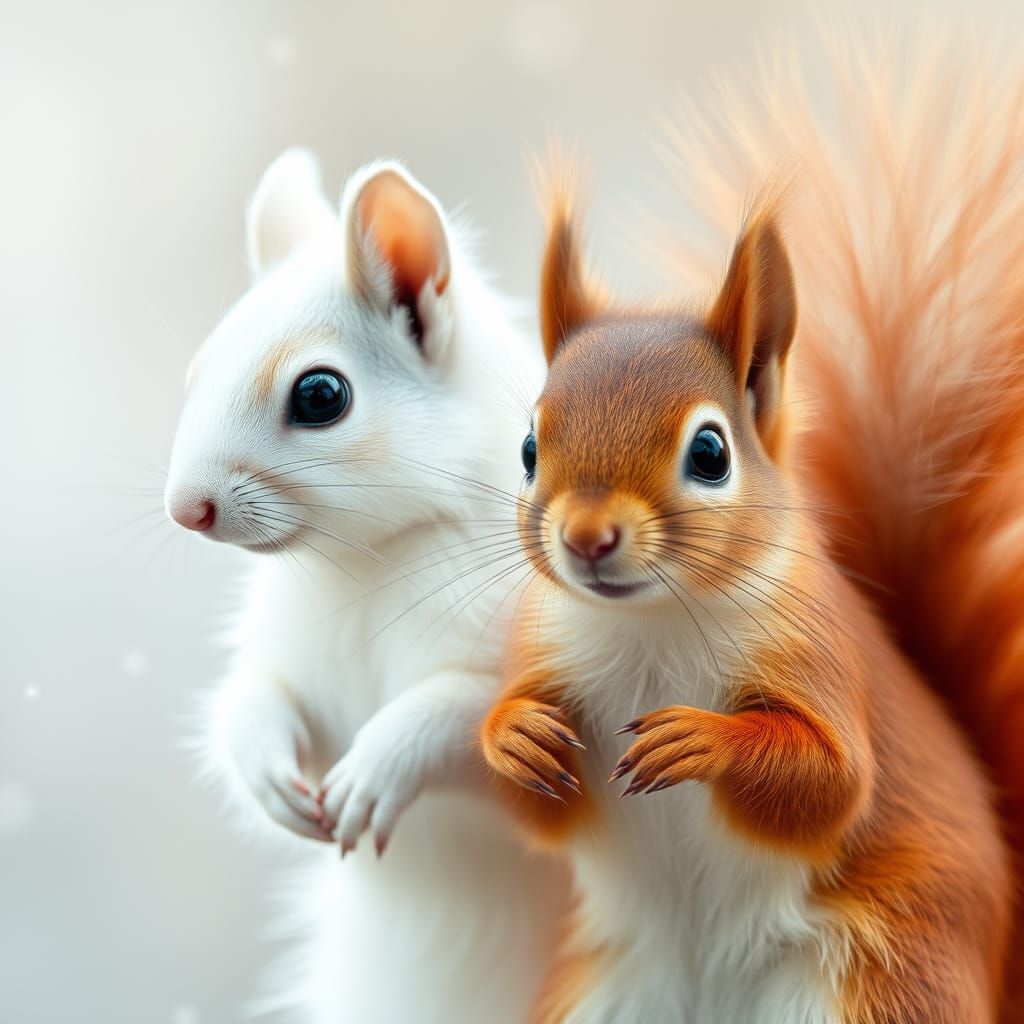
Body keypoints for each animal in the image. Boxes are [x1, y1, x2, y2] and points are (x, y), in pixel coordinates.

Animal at [164, 150, 564, 1023]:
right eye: (197, 370)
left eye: (321, 396)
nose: (186, 509)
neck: (364, 562)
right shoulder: (297, 661)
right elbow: (251, 696)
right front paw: (265, 770)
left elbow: (466, 714)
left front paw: (379, 768)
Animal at [480, 163, 1011, 1022]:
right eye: (528, 448)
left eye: (710, 452)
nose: (586, 538)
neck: (651, 624)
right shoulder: (544, 651)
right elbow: (533, 809)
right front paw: (514, 734)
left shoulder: (819, 658)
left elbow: (832, 780)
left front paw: (702, 739)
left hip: (884, 983)